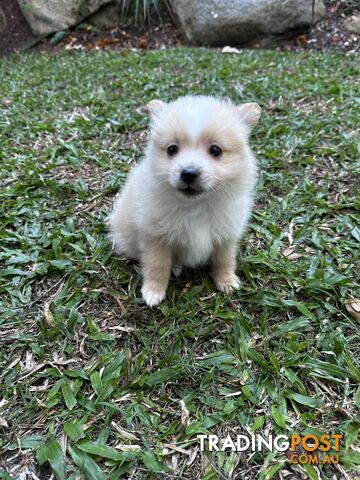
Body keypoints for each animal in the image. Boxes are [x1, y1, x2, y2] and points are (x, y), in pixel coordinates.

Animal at [108, 96, 260, 308]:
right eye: (172, 149)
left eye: (216, 150)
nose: (189, 173)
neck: (195, 206)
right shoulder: (155, 236)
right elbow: (157, 264)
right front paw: (153, 291)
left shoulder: (226, 233)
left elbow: (224, 259)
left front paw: (226, 281)